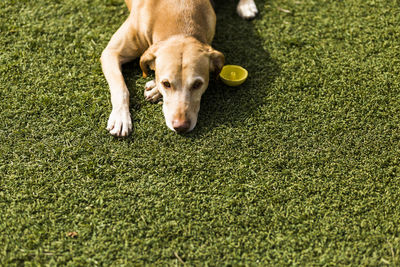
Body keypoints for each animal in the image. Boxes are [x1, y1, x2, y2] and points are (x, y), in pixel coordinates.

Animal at [101, 0, 258, 137]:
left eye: (197, 84)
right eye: (166, 84)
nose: (181, 126)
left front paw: (155, 89)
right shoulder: (111, 52)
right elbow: (121, 88)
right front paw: (121, 117)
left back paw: (246, 5)